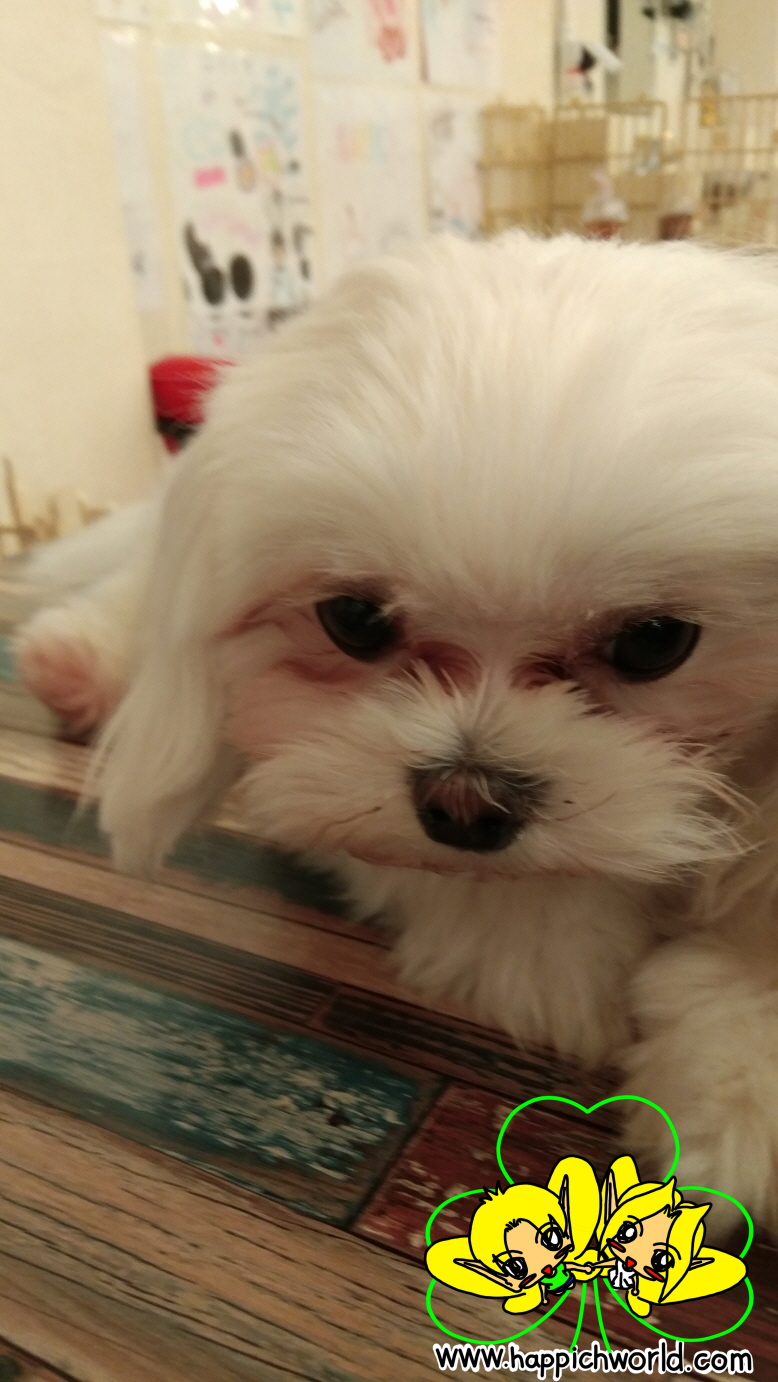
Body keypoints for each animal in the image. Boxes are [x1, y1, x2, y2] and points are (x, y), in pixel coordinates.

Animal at [16, 232, 778, 1233]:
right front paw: (553, 963)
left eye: (655, 641)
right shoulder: (321, 788)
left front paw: (739, 1102)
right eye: (354, 620)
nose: (466, 803)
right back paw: (75, 666)